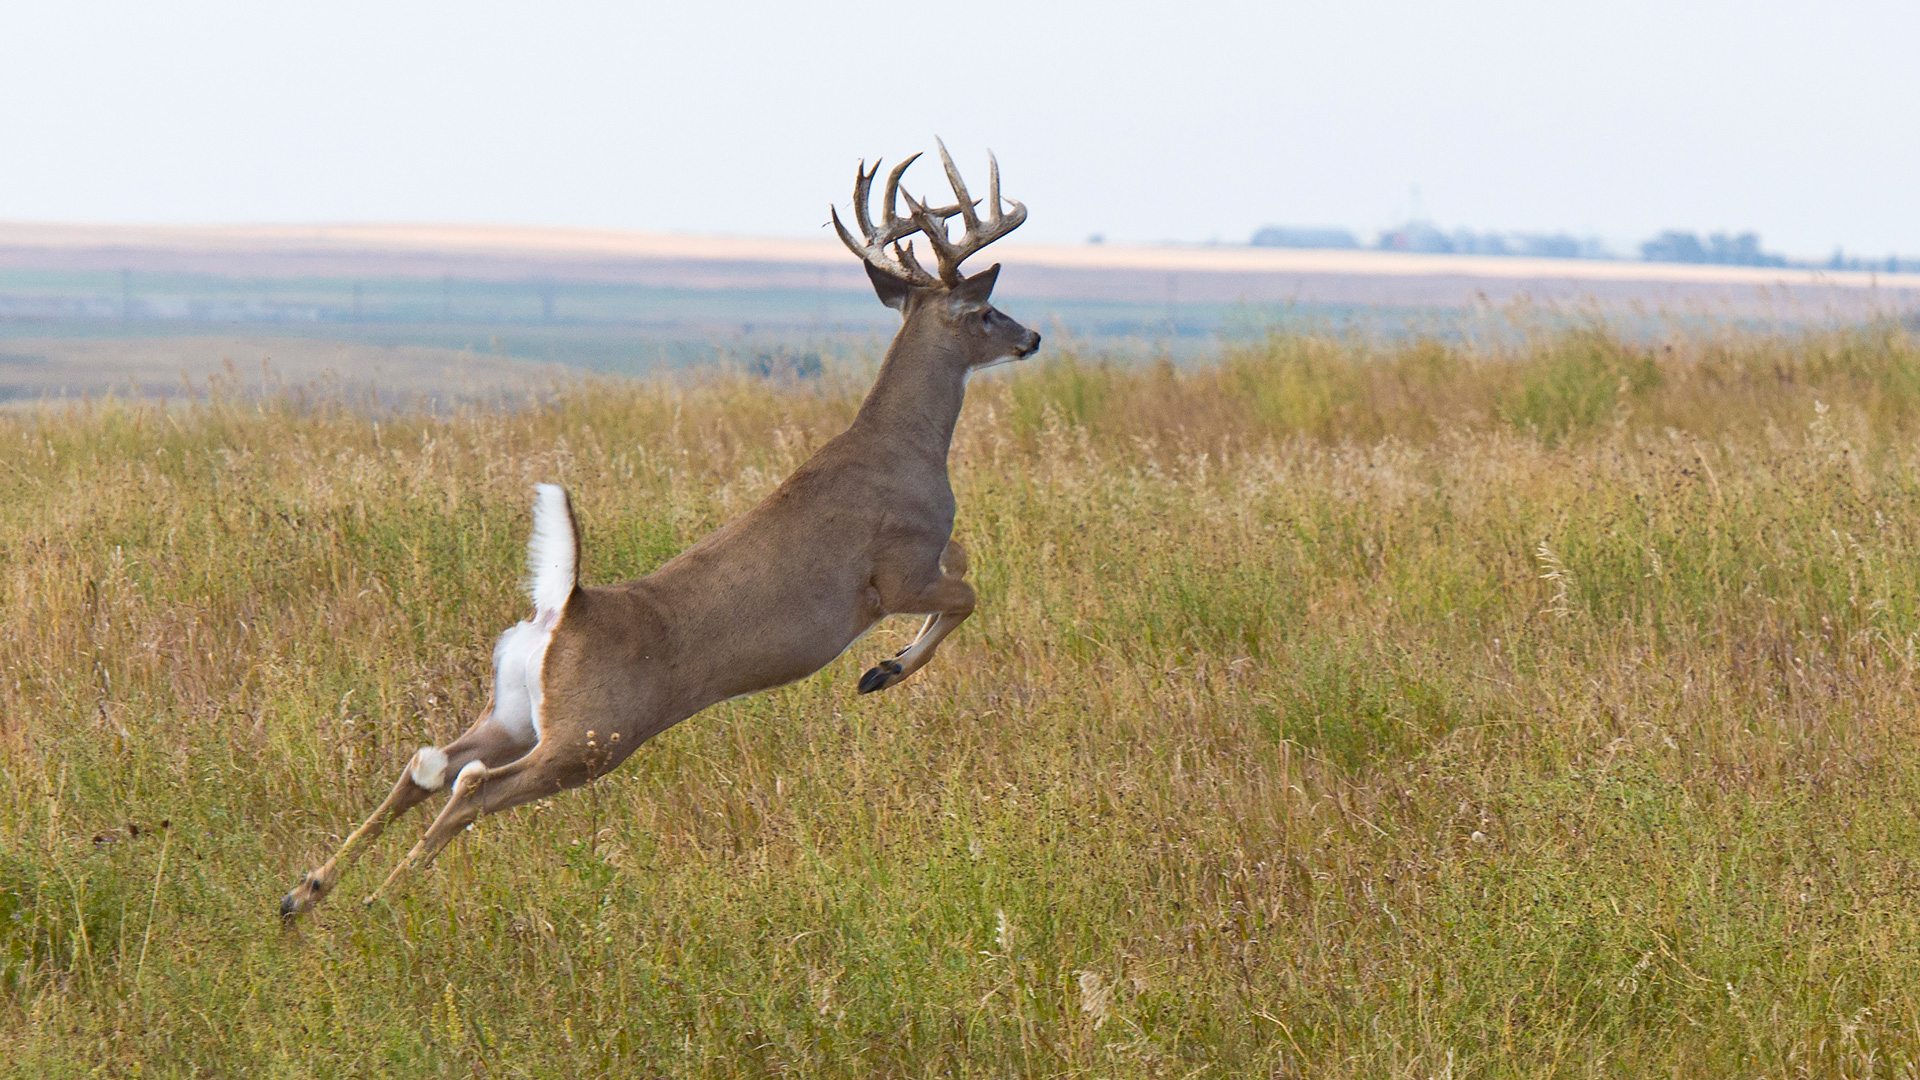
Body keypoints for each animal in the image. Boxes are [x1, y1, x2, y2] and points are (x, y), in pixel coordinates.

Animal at [278, 141, 1044, 914]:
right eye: (985, 310)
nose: (1033, 336)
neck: (905, 446)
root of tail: (565, 607)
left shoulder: (921, 562)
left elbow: (966, 565)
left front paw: (883, 668)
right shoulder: (897, 572)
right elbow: (968, 591)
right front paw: (882, 671)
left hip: (516, 714)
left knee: (424, 765)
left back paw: (304, 895)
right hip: (593, 735)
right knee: (469, 789)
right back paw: (377, 902)